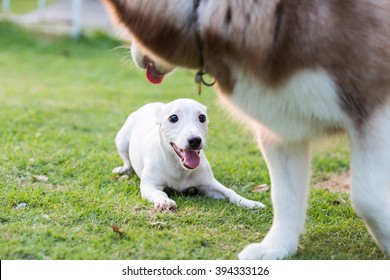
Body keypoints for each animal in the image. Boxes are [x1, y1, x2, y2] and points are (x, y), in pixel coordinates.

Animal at [112, 98, 266, 210]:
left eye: (202, 117)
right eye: (173, 118)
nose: (195, 140)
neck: (178, 167)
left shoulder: (209, 184)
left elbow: (229, 191)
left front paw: (248, 202)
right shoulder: (149, 185)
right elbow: (158, 192)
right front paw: (164, 201)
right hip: (121, 140)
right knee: (126, 160)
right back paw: (124, 169)